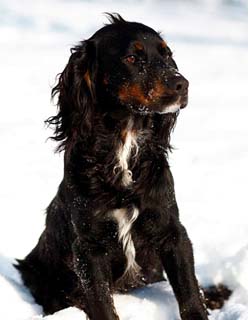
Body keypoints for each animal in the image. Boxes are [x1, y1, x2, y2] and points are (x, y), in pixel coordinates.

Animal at [15, 13, 208, 320]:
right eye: (131, 57)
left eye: (167, 54)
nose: (182, 84)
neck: (124, 146)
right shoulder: (89, 247)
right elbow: (102, 303)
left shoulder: (171, 230)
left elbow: (189, 293)